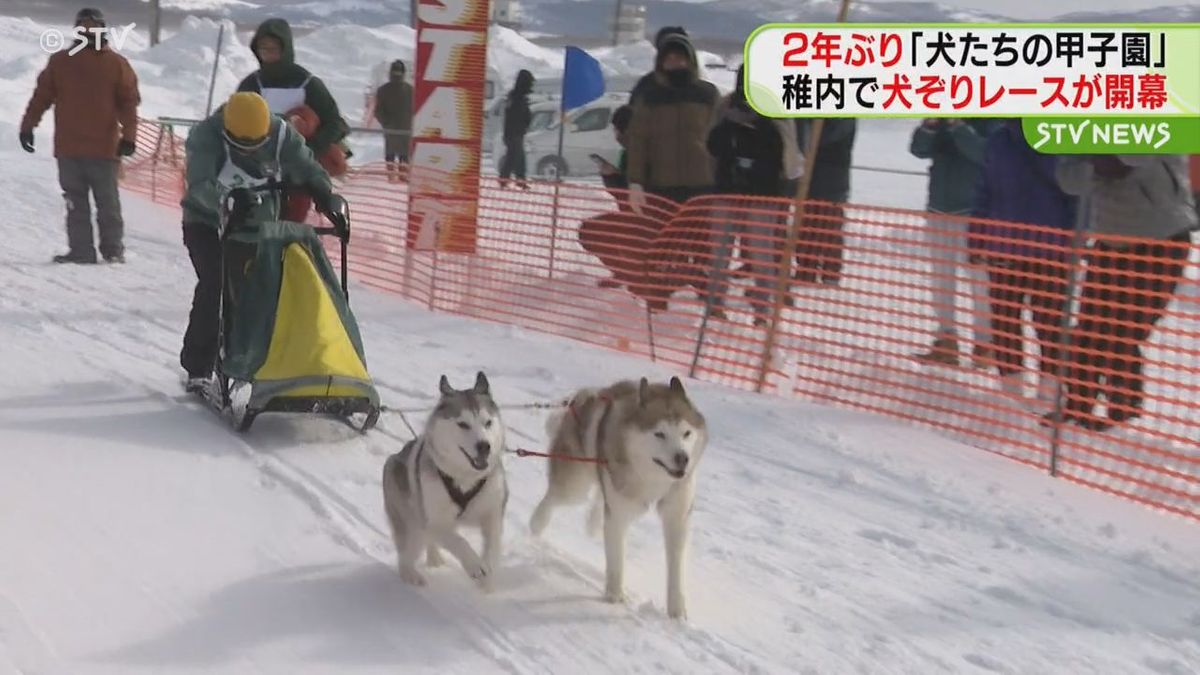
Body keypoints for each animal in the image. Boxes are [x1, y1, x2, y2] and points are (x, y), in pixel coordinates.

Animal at [381, 369, 508, 586]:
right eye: (463, 424)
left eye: (488, 422)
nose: (484, 446)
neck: (466, 478)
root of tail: (395, 456)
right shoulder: (435, 522)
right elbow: (459, 541)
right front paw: (475, 565)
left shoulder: (493, 514)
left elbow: (492, 546)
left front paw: (487, 580)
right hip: (412, 527)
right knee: (406, 555)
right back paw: (411, 576)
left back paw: (435, 560)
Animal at [530, 374, 705, 619]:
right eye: (659, 434)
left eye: (686, 433)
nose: (682, 458)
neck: (652, 478)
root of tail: (581, 398)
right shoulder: (619, 513)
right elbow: (616, 556)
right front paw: (614, 594)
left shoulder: (677, 514)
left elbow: (676, 564)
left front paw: (677, 609)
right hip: (575, 486)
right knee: (554, 497)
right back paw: (538, 523)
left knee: (597, 499)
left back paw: (593, 523)